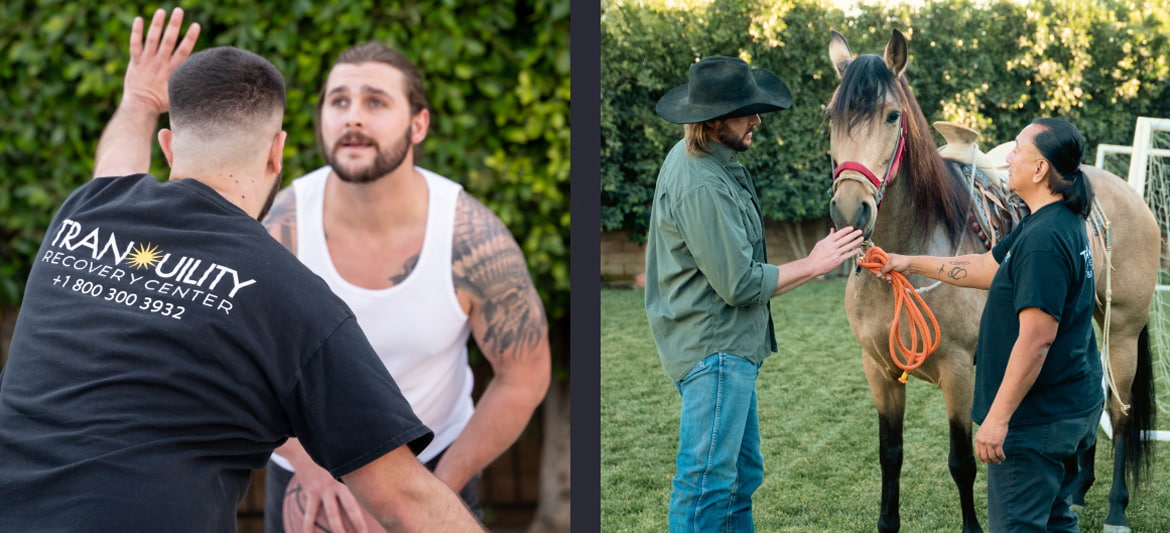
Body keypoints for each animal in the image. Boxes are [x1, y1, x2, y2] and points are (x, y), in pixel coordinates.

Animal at [828, 29, 1155, 533]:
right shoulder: (878, 370)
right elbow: (890, 454)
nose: (849, 211)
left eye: (892, 115)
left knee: (1119, 412)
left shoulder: (958, 373)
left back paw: (1116, 507)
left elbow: (962, 461)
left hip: (1121, 332)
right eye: (831, 117)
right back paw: (1078, 488)